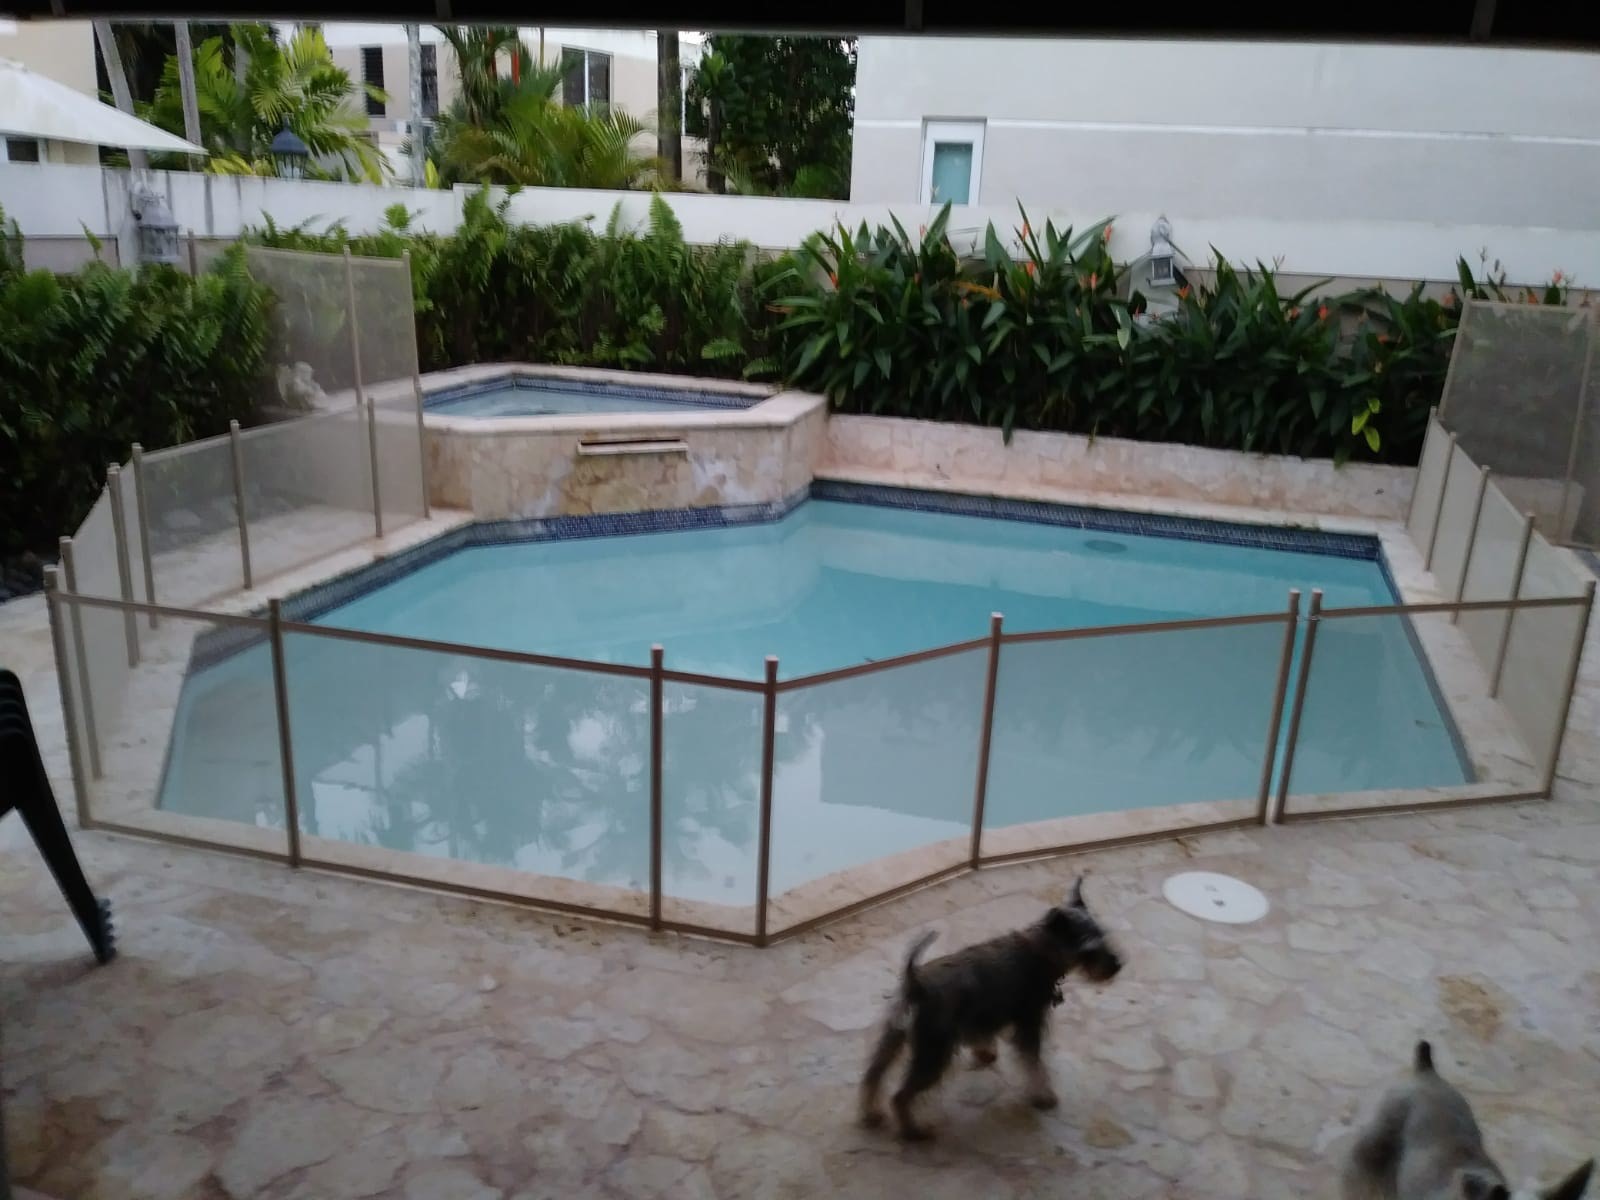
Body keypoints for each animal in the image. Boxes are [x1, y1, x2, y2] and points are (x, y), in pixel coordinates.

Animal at [857, 876, 1120, 1139]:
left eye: (1103, 935)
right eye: (1090, 949)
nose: (1117, 965)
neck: (1041, 949)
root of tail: (916, 983)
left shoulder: (985, 1018)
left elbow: (984, 1037)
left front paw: (986, 1053)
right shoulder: (1030, 1023)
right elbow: (1034, 1063)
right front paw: (1043, 1097)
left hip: (896, 1036)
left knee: (873, 1073)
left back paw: (872, 1114)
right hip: (933, 1053)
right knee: (900, 1095)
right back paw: (913, 1131)